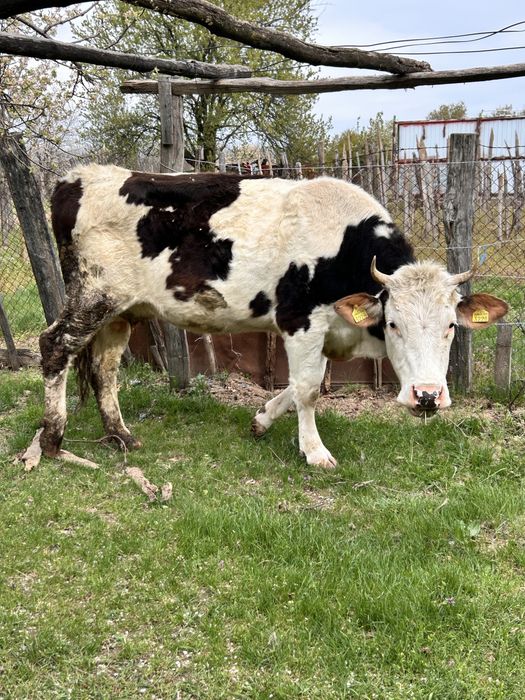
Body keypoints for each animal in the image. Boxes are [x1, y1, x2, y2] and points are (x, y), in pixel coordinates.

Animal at [39, 164, 508, 468]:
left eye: (451, 326)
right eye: (394, 324)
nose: (427, 396)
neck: (345, 244)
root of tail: (76, 177)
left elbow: (300, 385)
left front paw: (262, 419)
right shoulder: (300, 320)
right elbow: (308, 389)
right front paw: (315, 451)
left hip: (122, 310)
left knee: (105, 366)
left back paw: (121, 435)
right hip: (94, 295)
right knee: (55, 346)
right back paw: (52, 440)